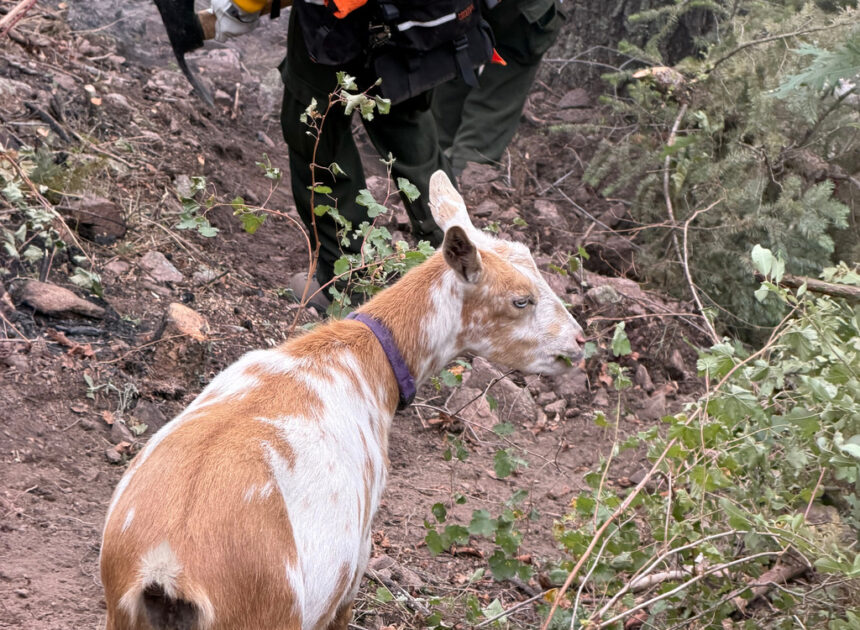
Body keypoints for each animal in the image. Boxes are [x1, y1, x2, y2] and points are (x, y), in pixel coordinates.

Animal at [100, 170, 585, 630]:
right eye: (521, 300)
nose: (580, 342)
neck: (359, 359)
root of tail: (167, 568)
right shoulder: (358, 556)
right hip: (270, 612)